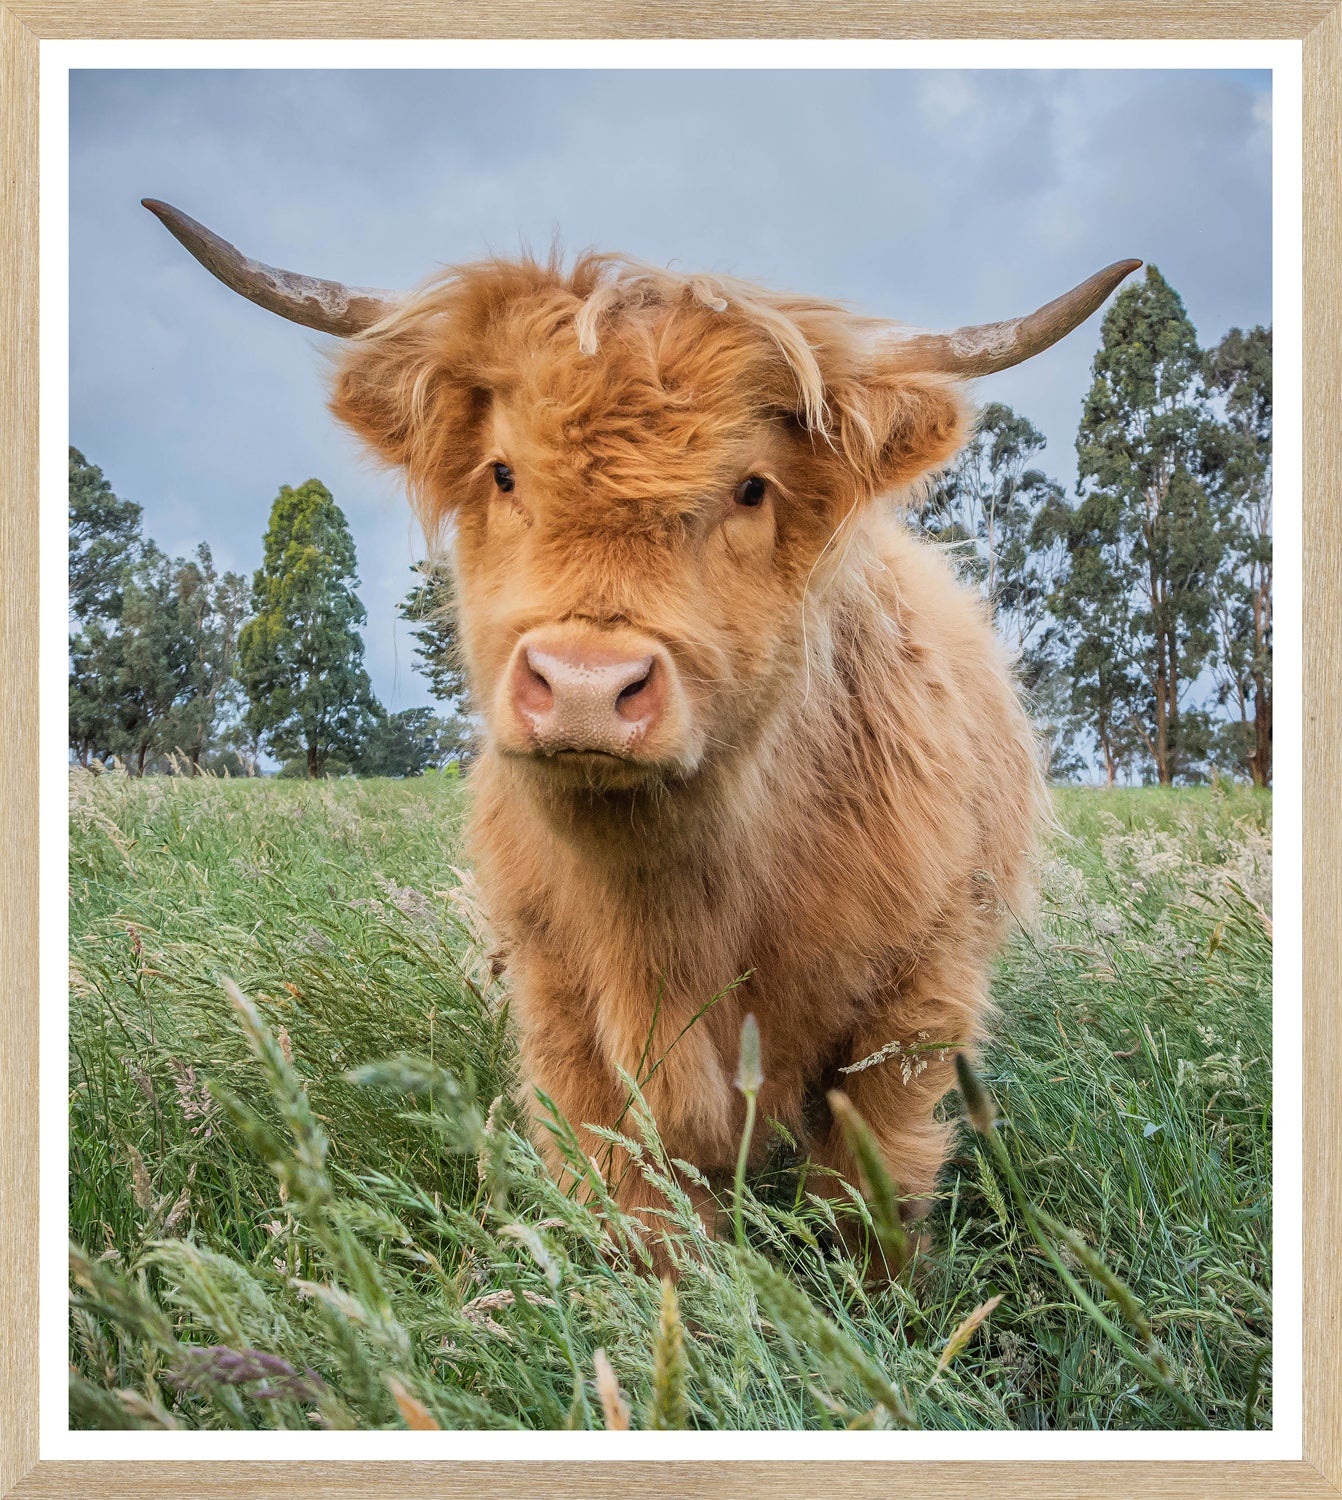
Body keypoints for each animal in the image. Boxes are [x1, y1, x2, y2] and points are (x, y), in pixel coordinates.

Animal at [145, 199, 1138, 1261]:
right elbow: (635, 1203)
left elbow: (865, 1201)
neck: (668, 912)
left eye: (751, 487)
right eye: (504, 472)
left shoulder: (915, 1000)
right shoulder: (559, 1005)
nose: (586, 686)